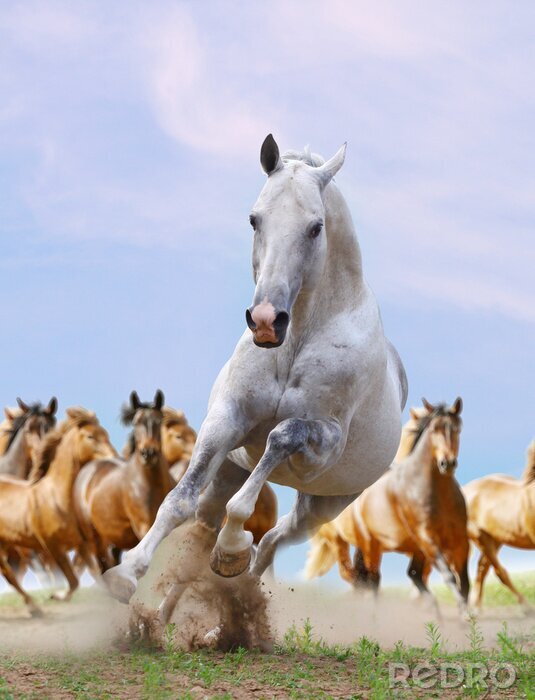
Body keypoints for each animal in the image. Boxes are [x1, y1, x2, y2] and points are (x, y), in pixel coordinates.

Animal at [0, 407, 116, 614]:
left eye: (106, 434)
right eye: (90, 436)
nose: (114, 457)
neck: (58, 499)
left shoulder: (82, 544)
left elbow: (97, 575)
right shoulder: (52, 547)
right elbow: (72, 581)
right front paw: (56, 596)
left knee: (9, 574)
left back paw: (33, 607)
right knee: (9, 574)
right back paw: (34, 607)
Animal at [104, 134, 407, 607]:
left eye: (316, 227)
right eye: (254, 219)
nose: (266, 321)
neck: (296, 341)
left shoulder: (322, 444)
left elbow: (278, 440)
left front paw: (231, 548)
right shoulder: (227, 421)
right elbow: (178, 501)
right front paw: (126, 572)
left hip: (322, 505)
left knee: (272, 541)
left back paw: (237, 578)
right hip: (230, 472)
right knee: (206, 529)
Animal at [306, 399, 469, 616]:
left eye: (458, 429)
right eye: (434, 429)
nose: (447, 463)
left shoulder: (460, 540)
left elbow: (464, 581)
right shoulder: (427, 539)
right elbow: (449, 576)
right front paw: (464, 616)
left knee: (409, 574)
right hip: (356, 543)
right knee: (369, 579)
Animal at [463, 440, 535, 613]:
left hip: (496, 540)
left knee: (482, 568)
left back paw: (476, 609)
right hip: (481, 538)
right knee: (499, 572)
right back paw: (526, 607)